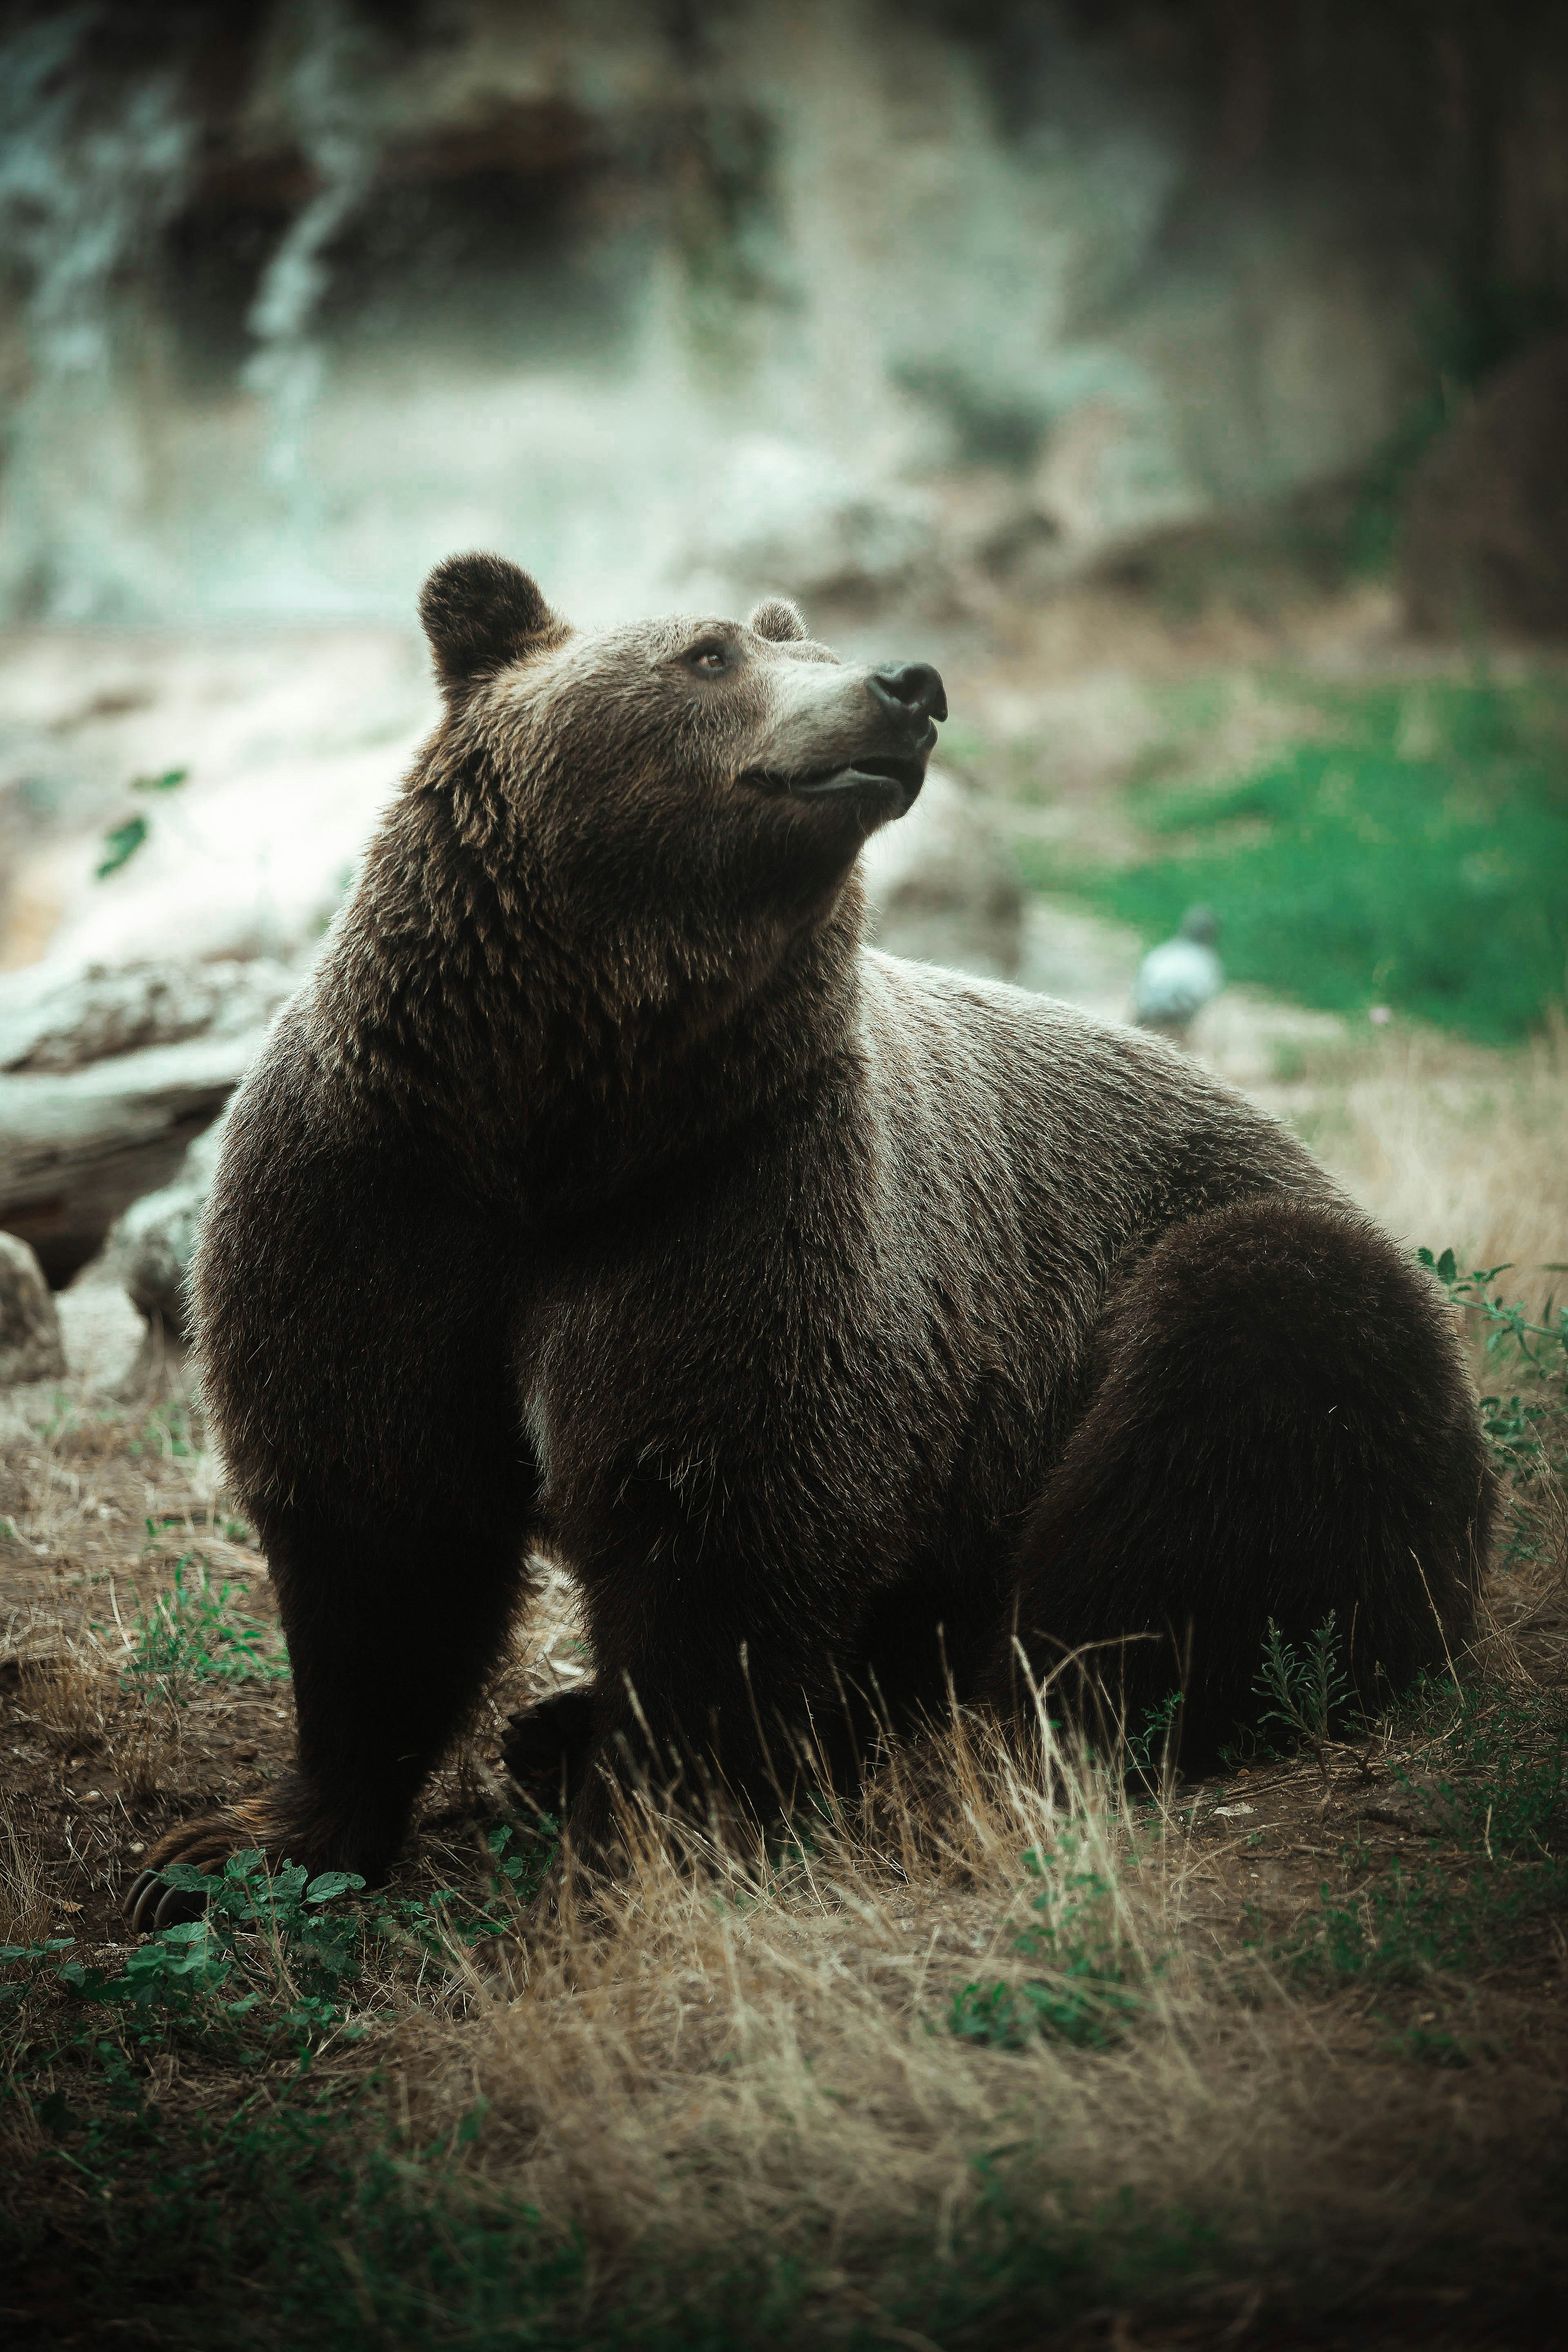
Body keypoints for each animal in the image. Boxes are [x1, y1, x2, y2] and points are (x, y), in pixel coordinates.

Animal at [125, 553, 1491, 1932]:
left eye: (805, 642)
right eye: (710, 653)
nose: (907, 686)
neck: (563, 1115)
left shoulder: (743, 1198)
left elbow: (720, 1519)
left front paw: (657, 1837)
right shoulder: (383, 1194)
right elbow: (380, 1526)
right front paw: (229, 1850)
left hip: (1220, 1298)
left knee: (1225, 1425)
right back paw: (561, 1730)